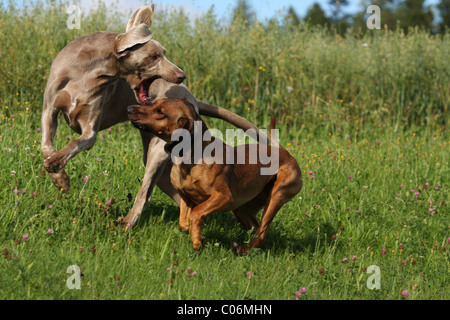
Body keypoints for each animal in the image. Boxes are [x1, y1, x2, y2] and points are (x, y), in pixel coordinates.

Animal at [126, 98, 302, 252]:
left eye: (160, 112)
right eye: (153, 103)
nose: (129, 108)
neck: (192, 158)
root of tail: (284, 152)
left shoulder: (223, 197)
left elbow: (196, 213)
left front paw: (197, 241)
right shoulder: (185, 196)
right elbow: (183, 222)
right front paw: (198, 235)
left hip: (276, 196)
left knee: (261, 234)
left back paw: (244, 251)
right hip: (243, 210)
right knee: (257, 229)